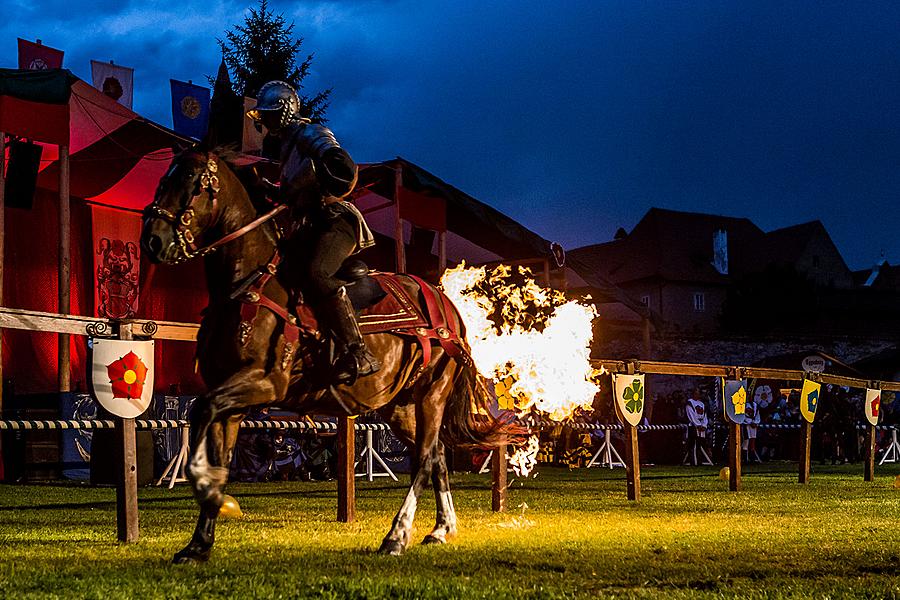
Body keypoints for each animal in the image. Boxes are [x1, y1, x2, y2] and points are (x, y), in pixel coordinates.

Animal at [142, 149, 520, 564]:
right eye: (163, 179)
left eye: (191, 181)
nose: (153, 241)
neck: (248, 284)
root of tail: (446, 306)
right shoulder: (233, 402)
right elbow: (220, 454)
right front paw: (198, 543)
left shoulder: (262, 383)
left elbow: (200, 411)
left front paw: (207, 491)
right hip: (401, 405)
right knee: (436, 454)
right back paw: (440, 529)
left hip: (432, 395)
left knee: (423, 459)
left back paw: (397, 535)